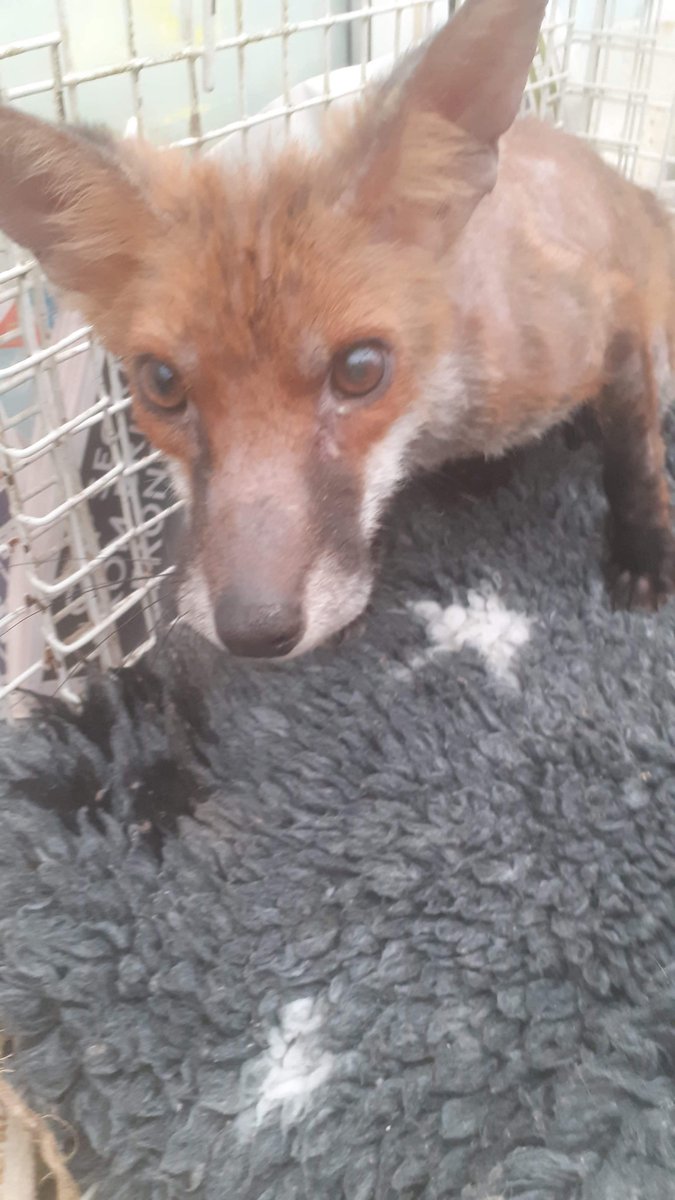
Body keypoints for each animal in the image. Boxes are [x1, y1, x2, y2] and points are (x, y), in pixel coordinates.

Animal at [0, 0, 674, 660]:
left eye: (360, 370)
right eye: (161, 383)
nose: (255, 630)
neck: (436, 424)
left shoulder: (611, 315)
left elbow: (634, 462)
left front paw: (645, 554)